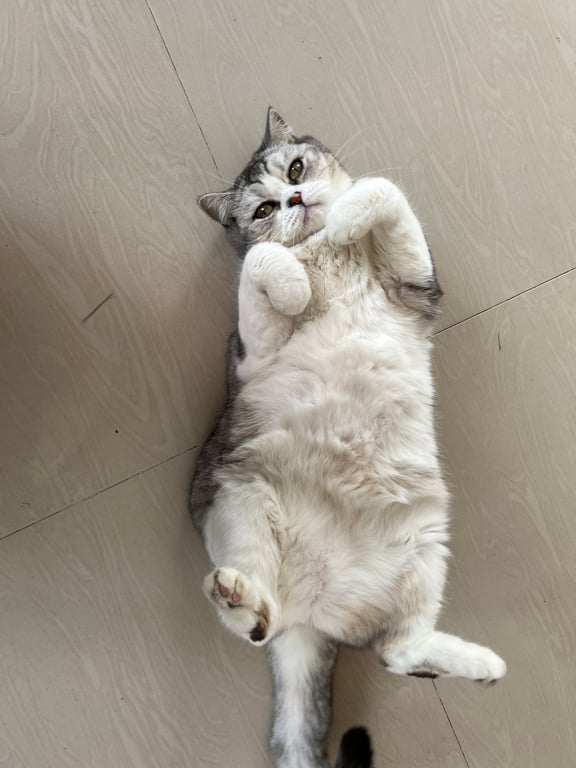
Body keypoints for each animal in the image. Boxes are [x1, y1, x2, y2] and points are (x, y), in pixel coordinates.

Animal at [190, 108, 506, 768]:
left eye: (295, 168)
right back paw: (236, 599)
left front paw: (344, 217)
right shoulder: (252, 353)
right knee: (265, 619)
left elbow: (384, 189)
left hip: (424, 550)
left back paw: (483, 665)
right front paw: (292, 282)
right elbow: (259, 264)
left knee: (398, 651)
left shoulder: (416, 286)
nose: (296, 199)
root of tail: (314, 613)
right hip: (241, 500)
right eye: (262, 209)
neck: (317, 254)